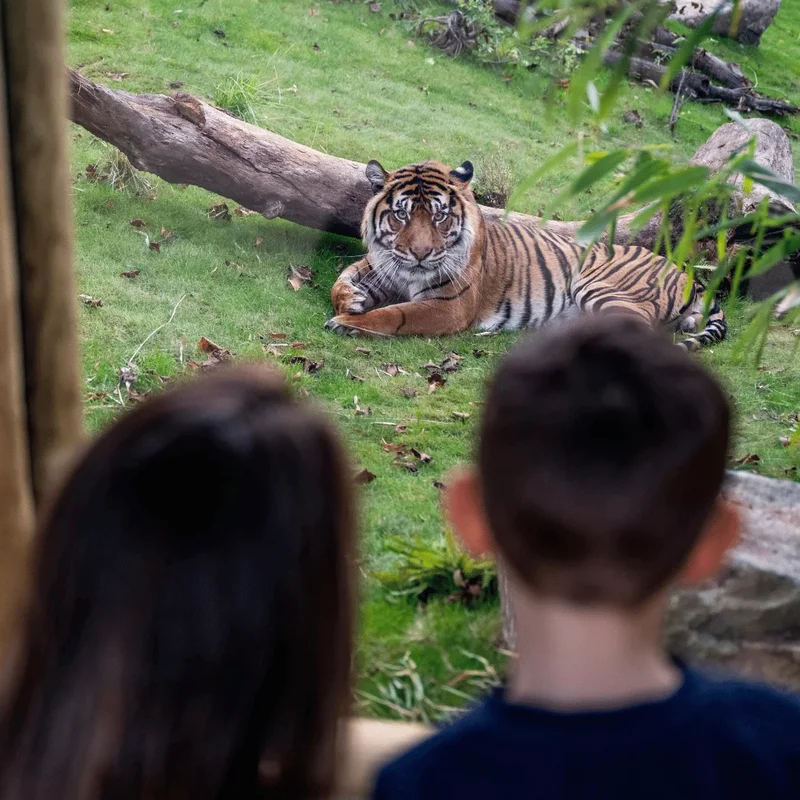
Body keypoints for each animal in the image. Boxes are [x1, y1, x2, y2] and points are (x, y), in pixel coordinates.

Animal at [325, 159, 726, 351]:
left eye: (440, 215)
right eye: (402, 214)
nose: (422, 253)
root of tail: (688, 274)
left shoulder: (449, 305)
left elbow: (397, 315)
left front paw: (347, 322)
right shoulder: (384, 264)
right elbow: (340, 280)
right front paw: (353, 300)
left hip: (599, 287)